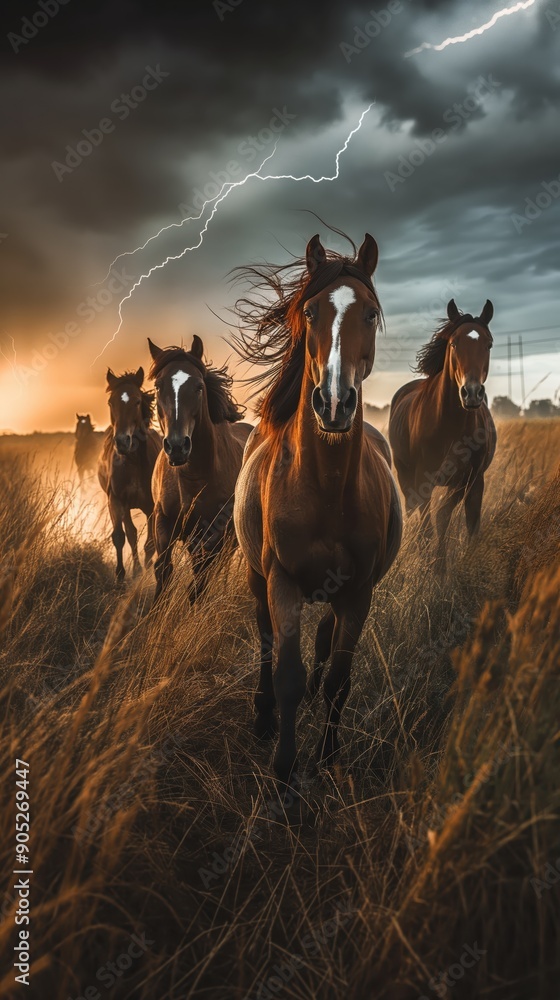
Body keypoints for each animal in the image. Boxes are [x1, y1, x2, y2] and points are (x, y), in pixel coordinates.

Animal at [97, 368, 162, 582]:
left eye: (137, 401)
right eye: (111, 402)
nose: (122, 442)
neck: (133, 462)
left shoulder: (151, 507)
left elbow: (150, 544)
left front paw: (143, 574)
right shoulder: (116, 501)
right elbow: (120, 536)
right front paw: (121, 576)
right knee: (131, 533)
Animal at [147, 335, 253, 603]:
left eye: (198, 387)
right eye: (158, 387)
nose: (177, 446)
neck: (193, 479)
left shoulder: (214, 535)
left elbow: (199, 584)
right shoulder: (163, 522)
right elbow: (163, 570)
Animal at [232, 232, 402, 790]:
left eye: (370, 313)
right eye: (309, 311)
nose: (333, 403)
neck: (324, 488)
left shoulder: (358, 591)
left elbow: (339, 681)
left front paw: (328, 757)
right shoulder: (281, 579)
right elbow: (286, 674)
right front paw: (284, 770)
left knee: (325, 642)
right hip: (255, 577)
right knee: (265, 640)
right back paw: (263, 716)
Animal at [388, 298, 497, 568]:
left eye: (489, 343)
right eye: (454, 343)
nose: (472, 393)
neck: (449, 424)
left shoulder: (469, 478)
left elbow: (448, 517)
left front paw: (441, 565)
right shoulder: (422, 479)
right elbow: (429, 522)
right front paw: (432, 563)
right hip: (406, 476)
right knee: (414, 511)